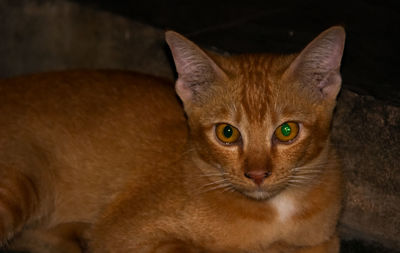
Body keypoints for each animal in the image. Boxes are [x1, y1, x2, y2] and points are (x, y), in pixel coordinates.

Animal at [0, 26, 346, 252]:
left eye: (287, 131)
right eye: (227, 133)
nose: (258, 174)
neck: (277, 210)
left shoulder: (327, 240)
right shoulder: (122, 235)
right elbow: (198, 249)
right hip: (19, 185)